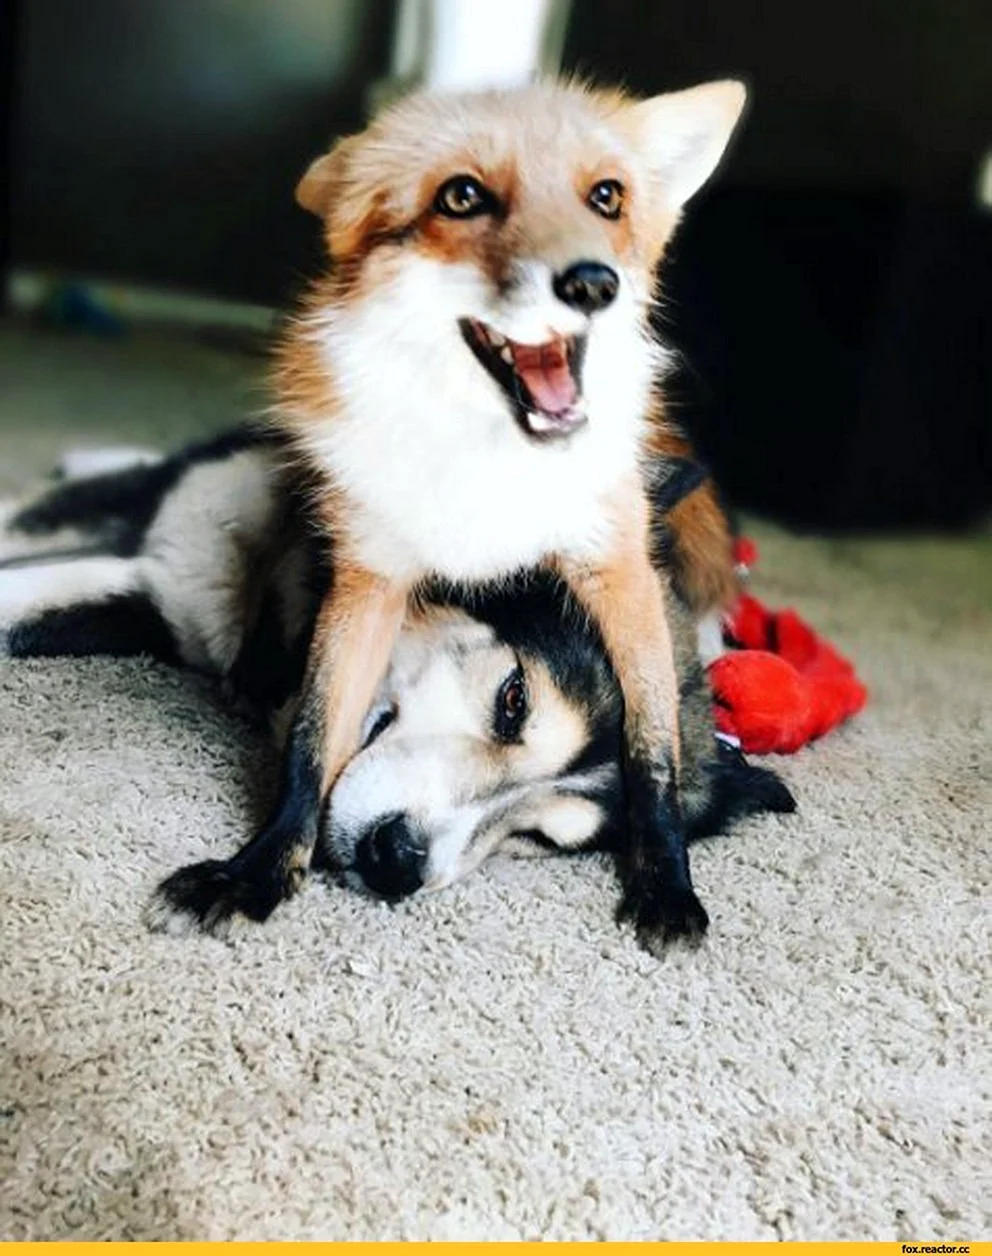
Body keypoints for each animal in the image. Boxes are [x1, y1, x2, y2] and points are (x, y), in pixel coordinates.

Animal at [155, 78, 750, 953]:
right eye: (461, 197)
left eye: (608, 197)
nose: (395, 861)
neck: (484, 465)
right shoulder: (369, 575)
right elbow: (314, 741)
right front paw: (258, 871)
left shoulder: (619, 570)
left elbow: (655, 751)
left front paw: (667, 879)